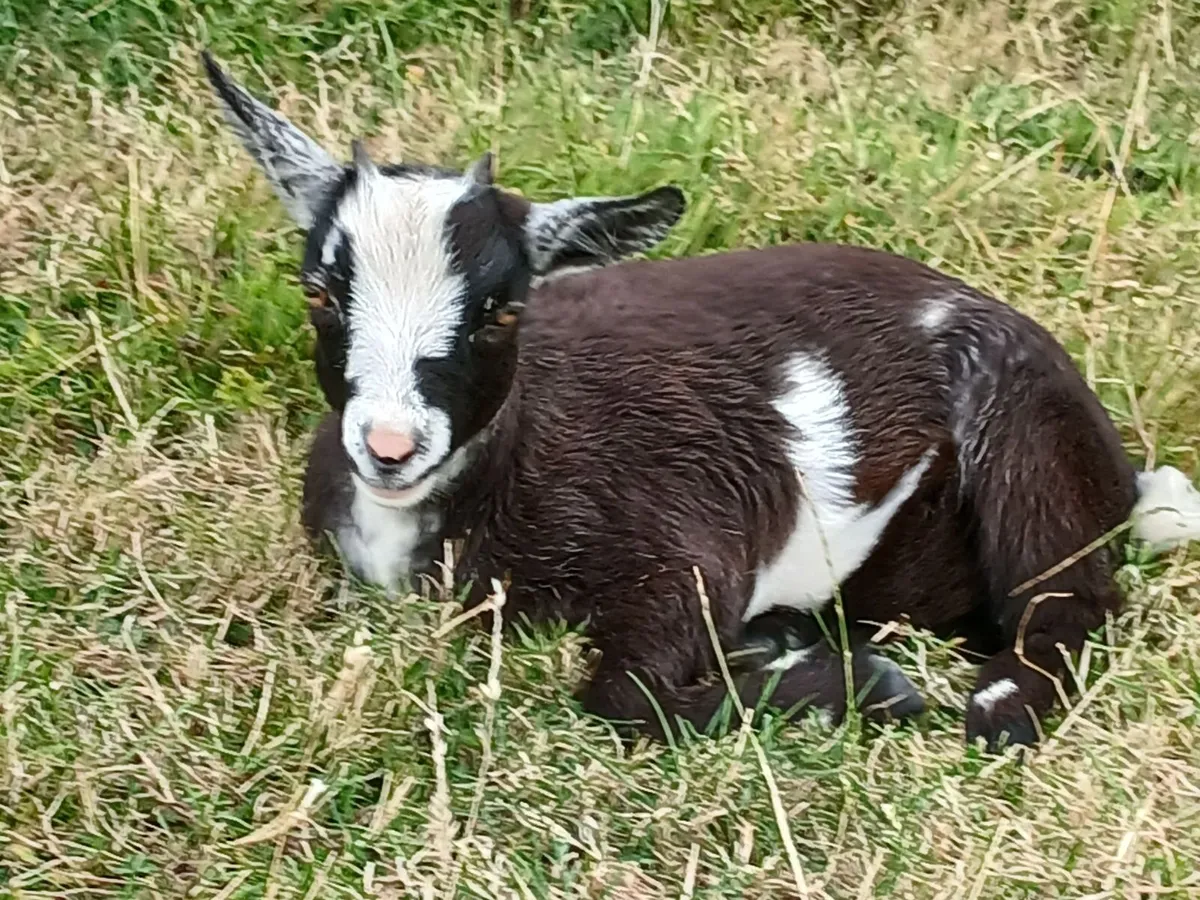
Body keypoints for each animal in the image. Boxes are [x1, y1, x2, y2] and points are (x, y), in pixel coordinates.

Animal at [203, 52, 1200, 751]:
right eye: (319, 292)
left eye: (503, 308)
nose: (389, 446)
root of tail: (1121, 474)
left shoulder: (690, 538)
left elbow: (622, 695)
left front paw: (866, 687)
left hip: (1024, 436)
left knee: (1066, 598)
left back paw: (994, 704)